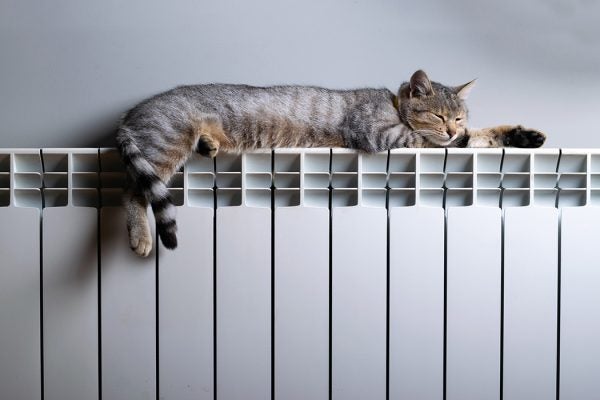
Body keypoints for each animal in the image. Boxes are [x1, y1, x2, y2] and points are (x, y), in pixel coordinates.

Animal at [116, 69, 544, 256]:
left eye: (459, 116)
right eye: (440, 116)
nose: (454, 129)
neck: (392, 105)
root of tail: (129, 115)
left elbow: (481, 136)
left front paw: (523, 136)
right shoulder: (385, 135)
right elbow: (438, 142)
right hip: (166, 144)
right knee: (131, 192)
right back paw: (140, 237)